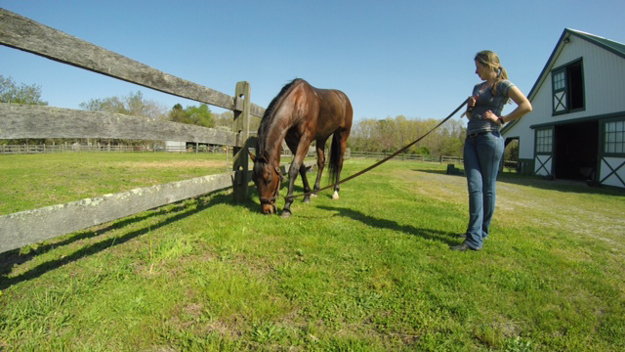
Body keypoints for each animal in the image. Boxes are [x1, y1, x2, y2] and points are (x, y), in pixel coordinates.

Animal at [247, 78, 352, 217]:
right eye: (254, 179)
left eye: (268, 179)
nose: (267, 210)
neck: (298, 103)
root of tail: (343, 98)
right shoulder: (292, 141)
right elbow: (301, 168)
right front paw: (306, 195)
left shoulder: (305, 139)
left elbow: (294, 169)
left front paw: (287, 207)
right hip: (322, 138)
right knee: (321, 162)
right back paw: (315, 192)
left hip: (342, 136)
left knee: (339, 163)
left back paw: (335, 192)